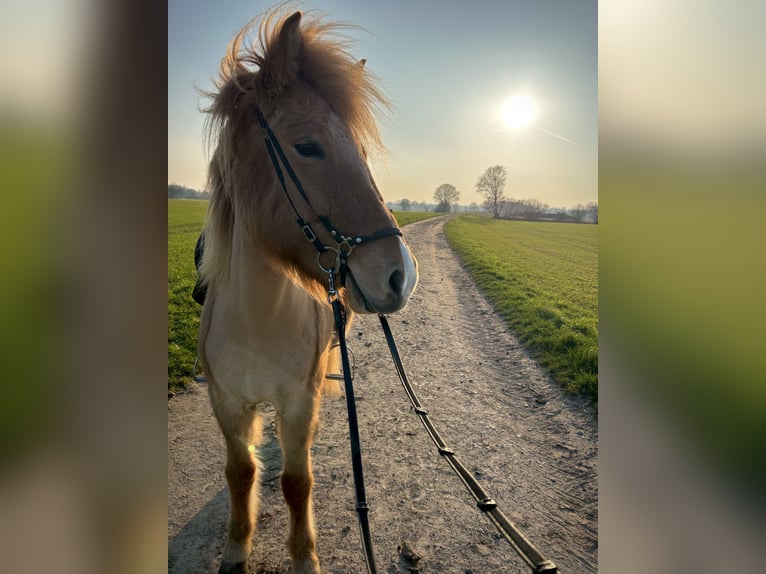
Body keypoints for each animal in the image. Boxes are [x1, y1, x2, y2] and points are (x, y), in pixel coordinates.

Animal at [195, 9, 416, 574]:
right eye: (309, 146)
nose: (401, 275)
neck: (257, 321)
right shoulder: (227, 404)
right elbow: (240, 473)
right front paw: (236, 548)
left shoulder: (298, 400)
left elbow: (297, 482)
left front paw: (303, 557)